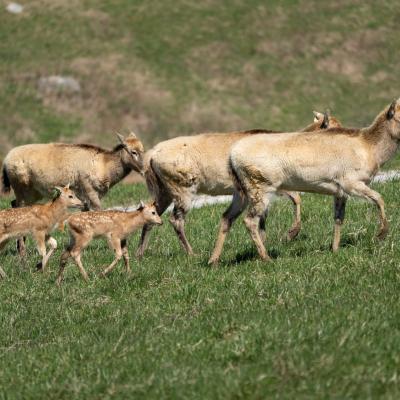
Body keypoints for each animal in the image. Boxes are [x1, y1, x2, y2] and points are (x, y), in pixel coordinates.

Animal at [137, 111, 340, 258]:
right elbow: (297, 198)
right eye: (332, 127)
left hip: (164, 191)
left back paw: (140, 254)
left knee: (151, 213)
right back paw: (191, 253)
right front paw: (290, 234)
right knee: (176, 219)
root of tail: (152, 155)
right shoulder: (276, 185)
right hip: (183, 190)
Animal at [208, 98, 400, 264]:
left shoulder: (340, 190)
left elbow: (339, 218)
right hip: (260, 187)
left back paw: (213, 261)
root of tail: (231, 157)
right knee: (250, 221)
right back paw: (266, 257)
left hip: (241, 191)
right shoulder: (351, 182)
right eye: (399, 116)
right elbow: (379, 198)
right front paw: (381, 234)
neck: (370, 149)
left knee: (227, 217)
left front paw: (335, 249)